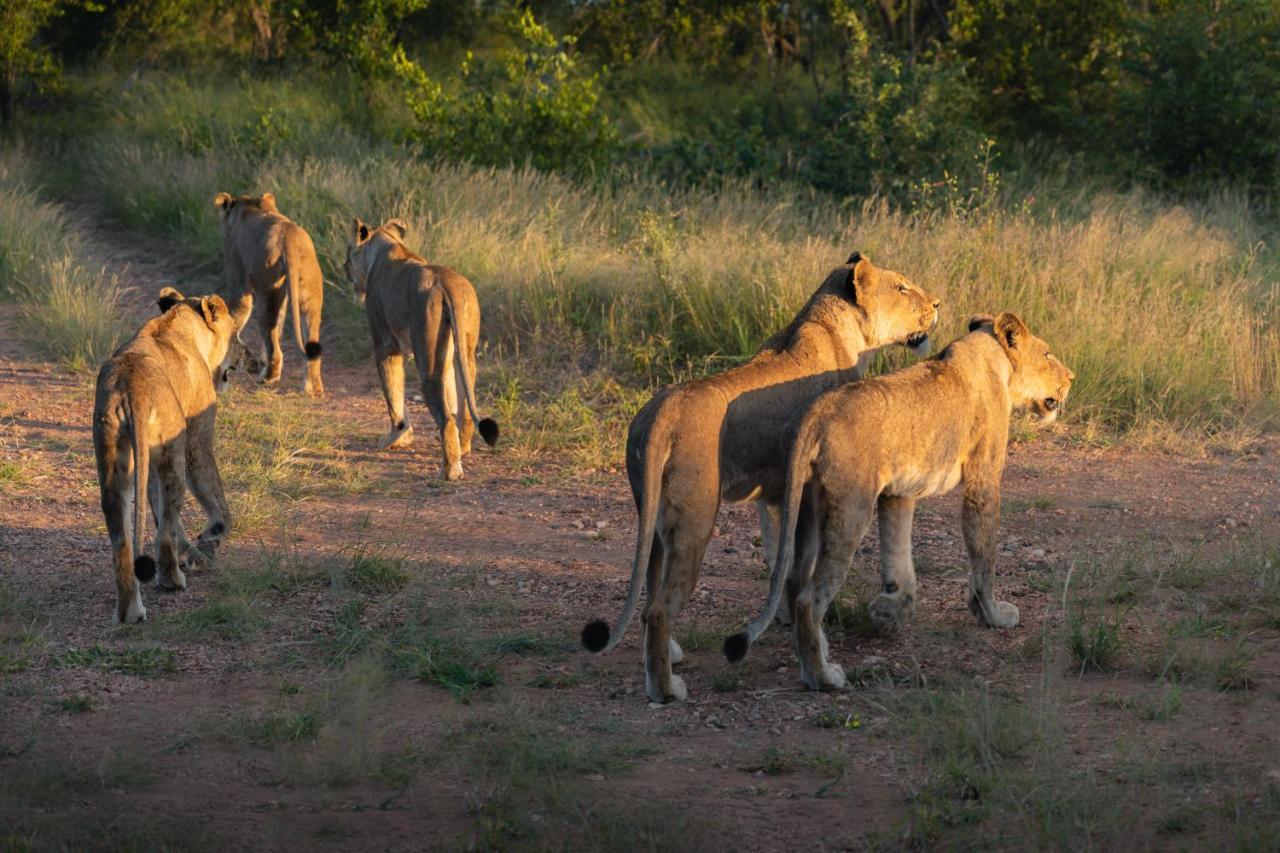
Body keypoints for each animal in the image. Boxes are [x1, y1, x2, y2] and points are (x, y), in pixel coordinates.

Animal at [93, 289, 243, 622]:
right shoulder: (196, 441)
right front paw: (211, 538)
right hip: (173, 454)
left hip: (114, 460)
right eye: (236, 335)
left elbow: (158, 510)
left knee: (122, 540)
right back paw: (171, 579)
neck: (177, 323)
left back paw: (131, 612)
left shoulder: (148, 459)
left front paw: (195, 549)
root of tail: (131, 386)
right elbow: (216, 499)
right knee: (165, 528)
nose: (243, 356)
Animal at [213, 189, 325, 394]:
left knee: (272, 339)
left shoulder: (238, 281)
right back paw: (312, 387)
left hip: (267, 289)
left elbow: (235, 317)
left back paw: (268, 378)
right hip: (308, 291)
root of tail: (289, 239)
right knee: (309, 336)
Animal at [345, 216, 499, 479]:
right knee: (464, 407)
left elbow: (392, 393)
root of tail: (447, 283)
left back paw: (450, 471)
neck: (386, 246)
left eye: (348, 253)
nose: (344, 268)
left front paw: (397, 437)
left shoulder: (385, 345)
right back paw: (463, 449)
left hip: (427, 353)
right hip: (463, 350)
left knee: (446, 417)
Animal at [583, 251, 942, 696]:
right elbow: (800, 573)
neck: (839, 329)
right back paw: (666, 689)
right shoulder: (809, 491)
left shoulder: (775, 495)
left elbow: (781, 562)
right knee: (660, 608)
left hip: (653, 519)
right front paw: (817, 652)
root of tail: (663, 410)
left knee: (651, 589)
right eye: (902, 287)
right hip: (695, 519)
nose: (938, 304)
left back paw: (670, 655)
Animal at [727, 312, 1075, 691]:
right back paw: (823, 676)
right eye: (1047, 354)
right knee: (808, 599)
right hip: (851, 507)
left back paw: (818, 654)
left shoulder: (899, 492)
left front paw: (889, 612)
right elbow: (984, 555)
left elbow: (900, 562)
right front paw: (993, 614)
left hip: (807, 510)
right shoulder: (983, 480)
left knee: (793, 581)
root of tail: (815, 414)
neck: (992, 359)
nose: (1071, 378)